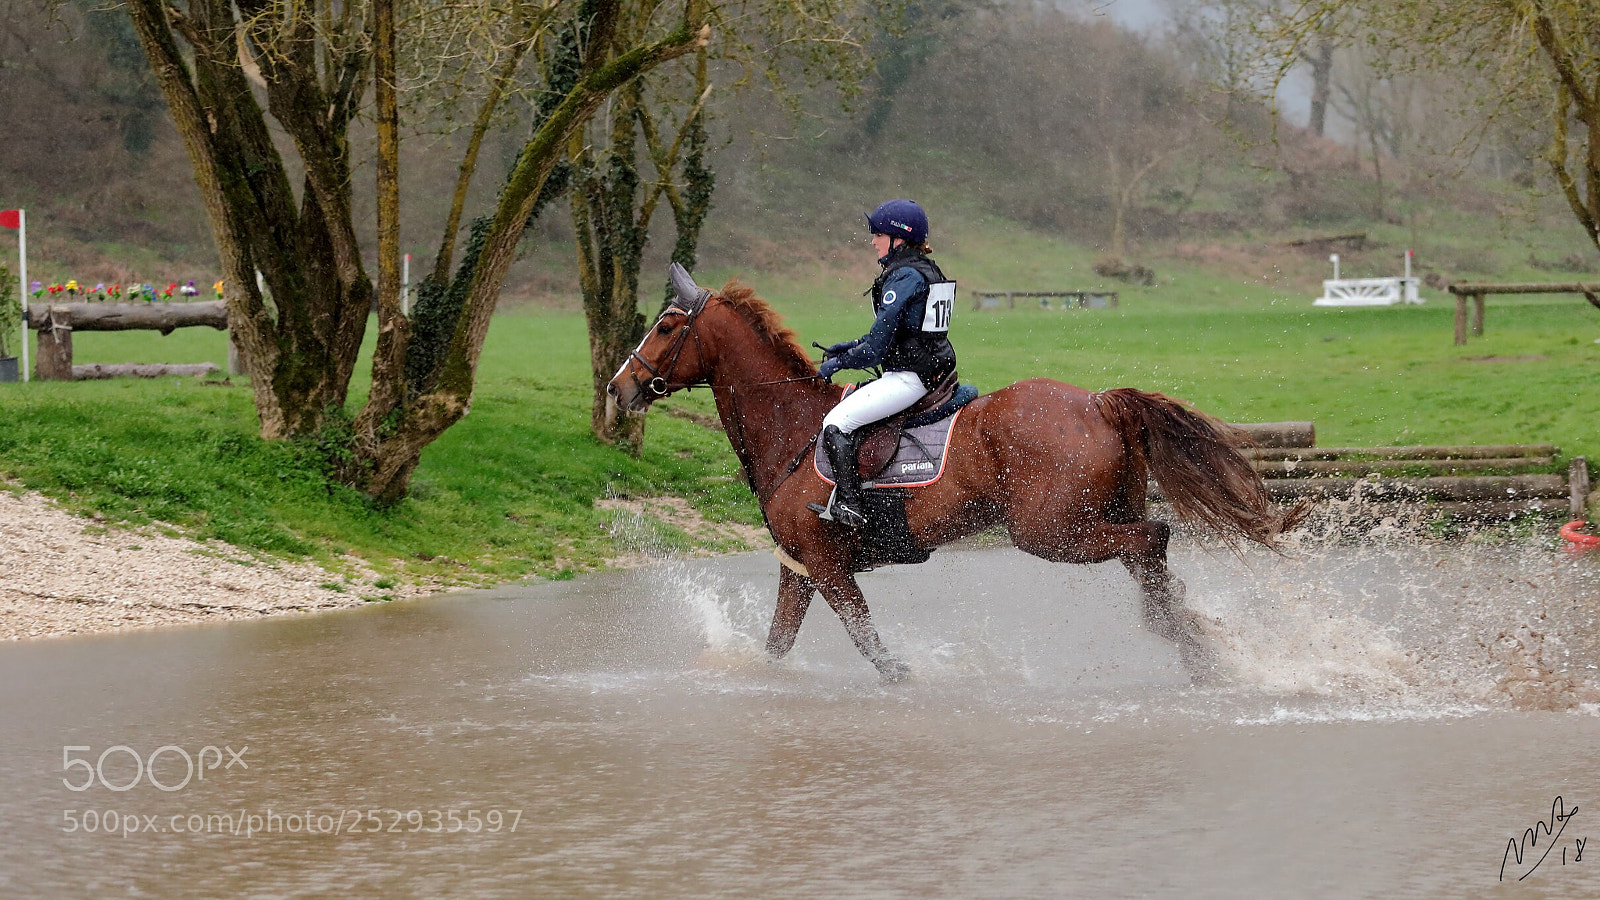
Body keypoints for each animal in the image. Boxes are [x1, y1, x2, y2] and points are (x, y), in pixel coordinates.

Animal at [607, 267, 1307, 682]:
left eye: (665, 326)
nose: (619, 388)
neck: (793, 428)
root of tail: (1099, 402)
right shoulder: (800, 569)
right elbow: (777, 646)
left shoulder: (827, 567)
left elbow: (873, 648)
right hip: (1100, 513)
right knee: (1148, 555)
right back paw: (1191, 646)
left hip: (1051, 532)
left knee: (1153, 539)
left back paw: (1182, 639)